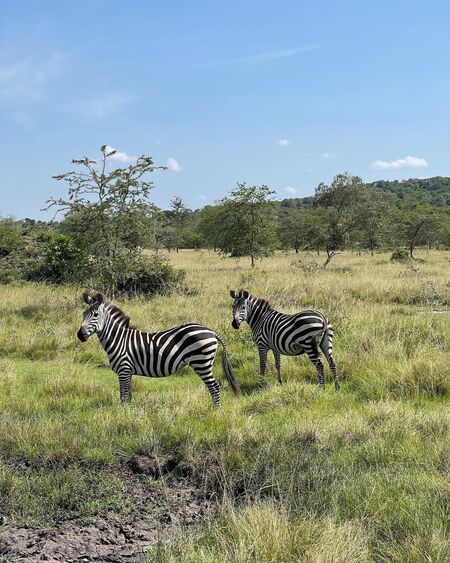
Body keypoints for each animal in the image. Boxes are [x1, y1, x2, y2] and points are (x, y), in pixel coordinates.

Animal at [78, 294, 241, 408]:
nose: (80, 335)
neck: (119, 339)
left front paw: (123, 415)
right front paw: (129, 413)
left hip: (201, 363)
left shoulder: (123, 370)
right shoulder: (128, 372)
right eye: (83, 314)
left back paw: (216, 412)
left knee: (214, 387)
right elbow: (128, 395)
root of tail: (212, 332)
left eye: (95, 315)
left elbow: (123, 396)